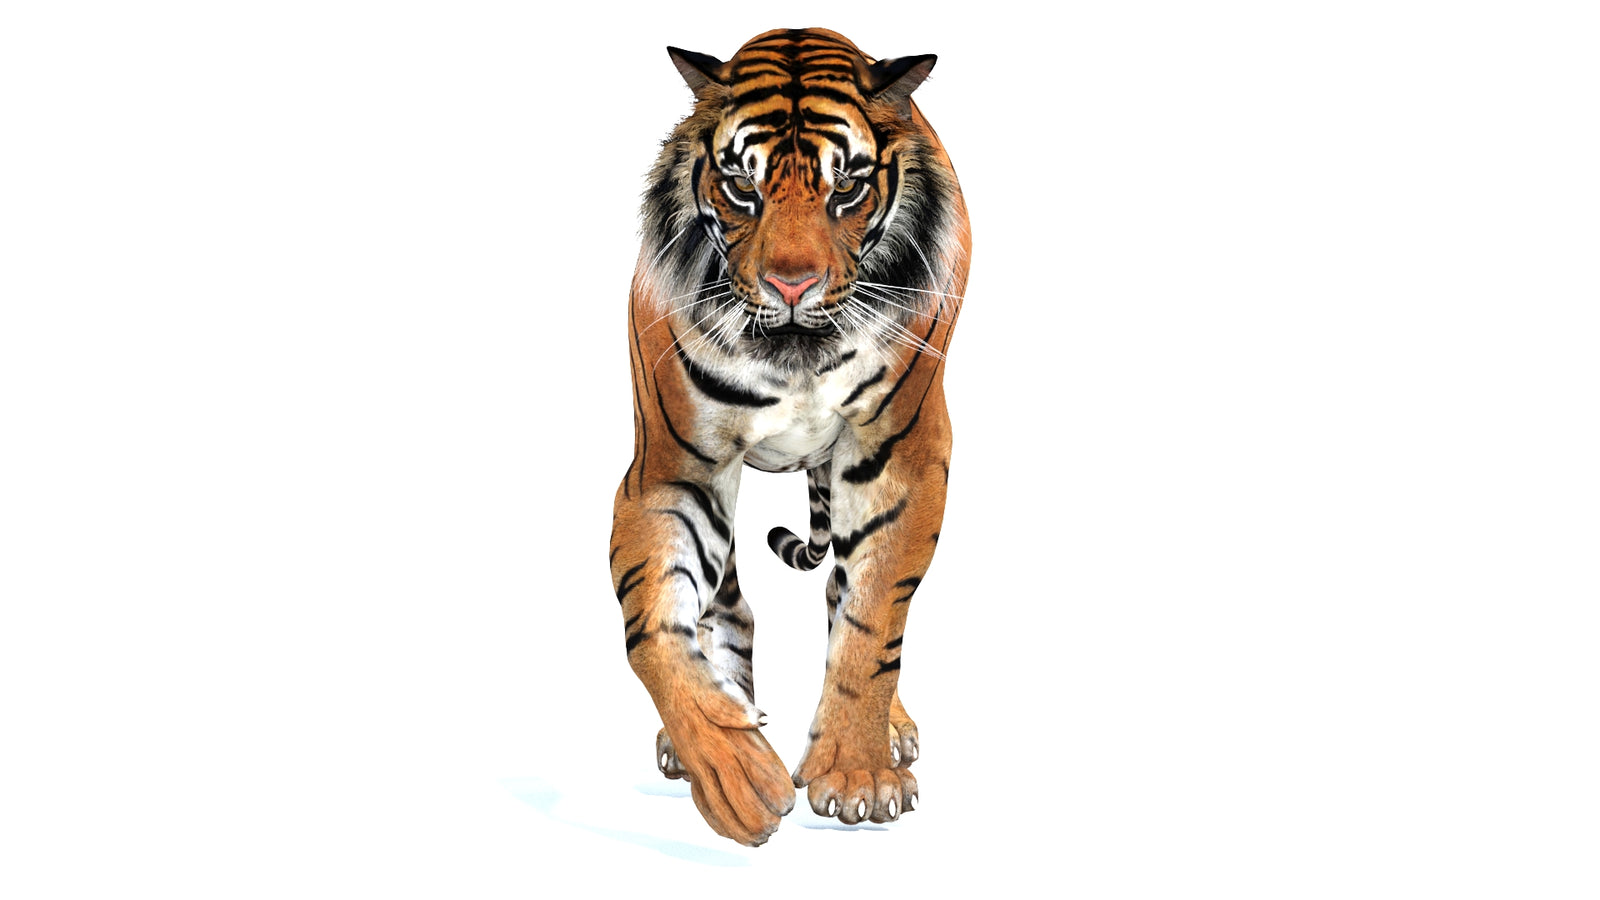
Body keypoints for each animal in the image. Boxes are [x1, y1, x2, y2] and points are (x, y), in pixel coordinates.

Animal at [609, 27, 970, 846]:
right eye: (743, 187)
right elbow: (655, 628)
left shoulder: (900, 459)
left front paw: (858, 774)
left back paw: (890, 730)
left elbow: (872, 621)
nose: (792, 285)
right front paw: (732, 772)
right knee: (728, 607)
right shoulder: (674, 471)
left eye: (848, 189)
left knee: (847, 592)